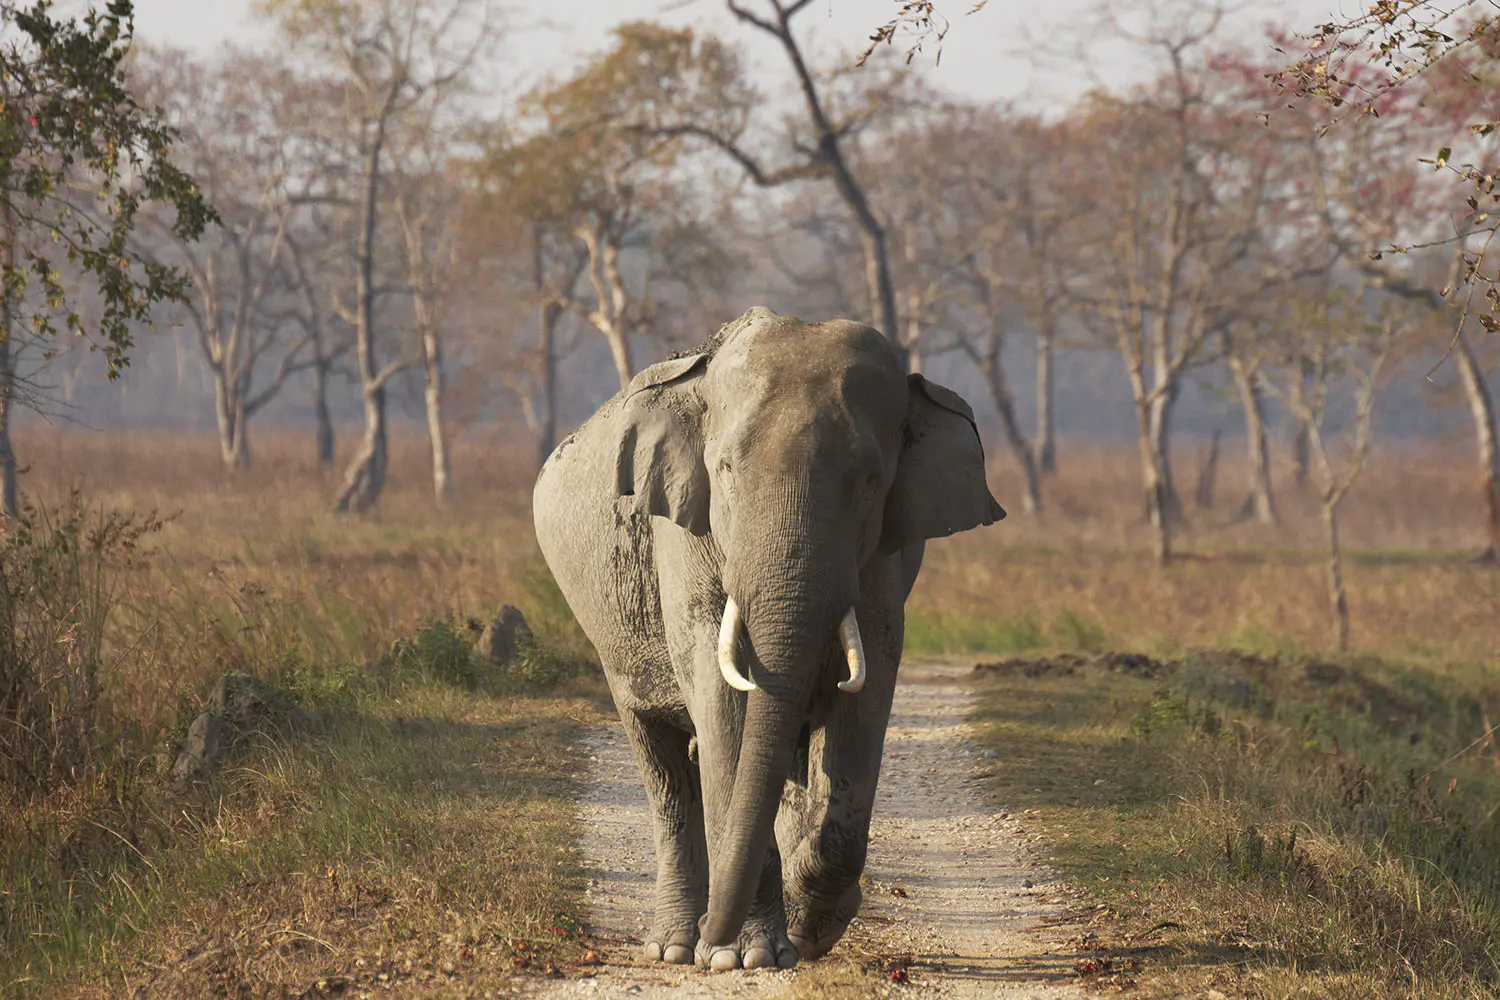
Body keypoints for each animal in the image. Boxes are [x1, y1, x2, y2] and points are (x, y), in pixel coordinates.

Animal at [532, 307, 1003, 971]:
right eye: (726, 470)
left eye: (871, 480)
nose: (716, 929)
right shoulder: (685, 531)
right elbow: (722, 693)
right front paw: (743, 957)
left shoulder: (884, 560)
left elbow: (867, 689)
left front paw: (810, 929)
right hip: (611, 645)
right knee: (662, 766)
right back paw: (674, 947)